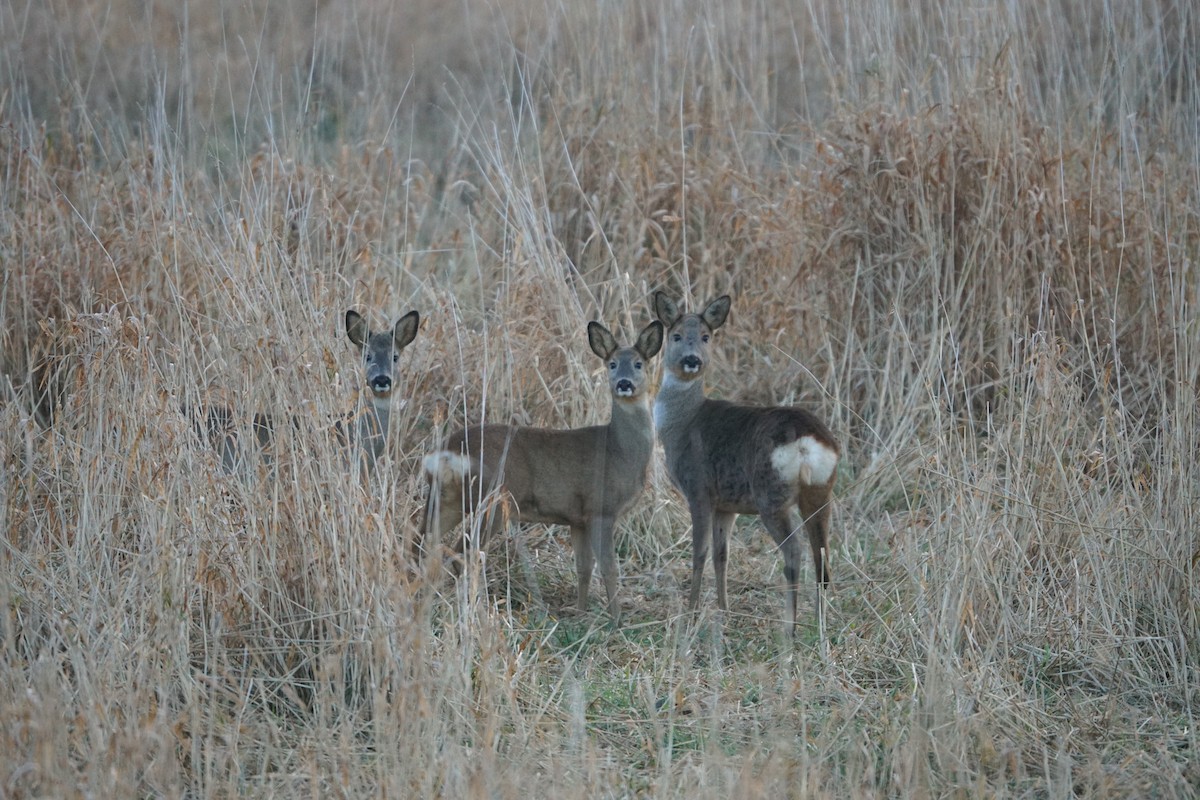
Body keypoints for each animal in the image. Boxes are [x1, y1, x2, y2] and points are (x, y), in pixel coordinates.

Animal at [420, 319, 664, 621]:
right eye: (612, 364)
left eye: (639, 363)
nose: (624, 383)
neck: (619, 450)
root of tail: (448, 449)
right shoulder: (601, 507)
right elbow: (608, 568)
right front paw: (616, 619)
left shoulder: (577, 518)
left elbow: (584, 568)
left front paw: (580, 614)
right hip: (492, 499)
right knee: (461, 553)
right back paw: (472, 609)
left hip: (449, 499)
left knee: (423, 540)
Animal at [651, 291, 839, 634]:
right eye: (676, 335)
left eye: (706, 336)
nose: (692, 360)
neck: (681, 423)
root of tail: (806, 440)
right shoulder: (727, 504)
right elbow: (721, 555)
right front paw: (724, 609)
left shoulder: (698, 488)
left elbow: (699, 553)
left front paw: (692, 612)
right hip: (820, 491)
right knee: (822, 558)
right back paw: (819, 629)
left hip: (771, 494)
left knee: (795, 552)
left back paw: (790, 628)